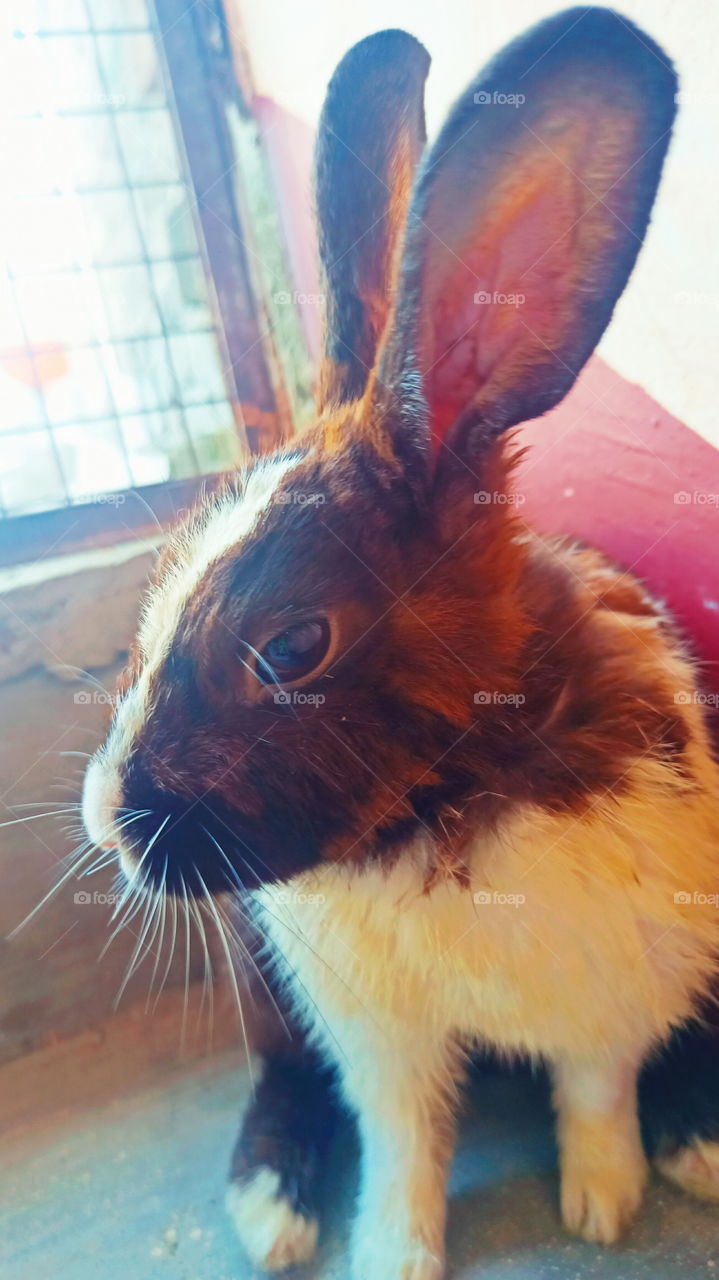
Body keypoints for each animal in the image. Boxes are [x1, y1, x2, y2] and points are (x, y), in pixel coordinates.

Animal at [81, 8, 719, 1279]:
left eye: (289, 647)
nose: (103, 819)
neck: (442, 808)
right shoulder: (376, 1034)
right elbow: (403, 1140)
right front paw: (393, 1252)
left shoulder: (614, 994)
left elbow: (593, 1093)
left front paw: (601, 1198)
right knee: (281, 1078)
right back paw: (274, 1207)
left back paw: (693, 1140)